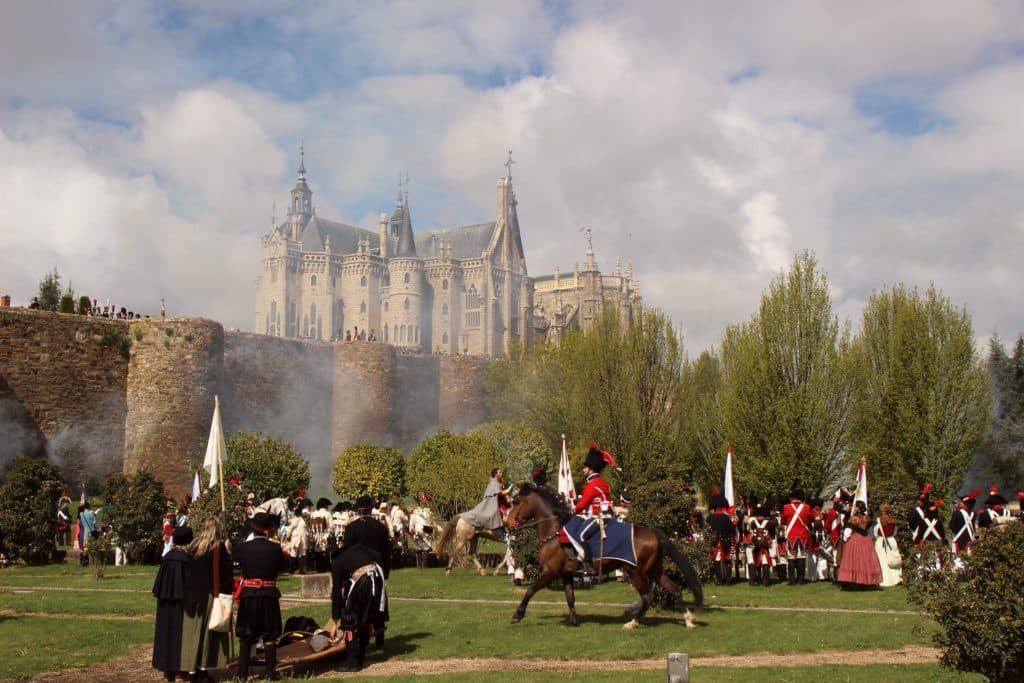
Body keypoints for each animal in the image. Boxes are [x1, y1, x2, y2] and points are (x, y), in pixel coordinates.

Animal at [505, 485, 704, 630]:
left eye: (516, 502)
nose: (508, 524)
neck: (554, 532)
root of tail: (653, 532)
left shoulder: (550, 572)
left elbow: (530, 590)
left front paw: (517, 615)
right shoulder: (566, 574)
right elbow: (570, 598)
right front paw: (572, 621)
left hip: (636, 573)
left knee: (648, 597)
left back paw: (633, 623)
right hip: (655, 570)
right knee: (674, 589)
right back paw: (689, 620)